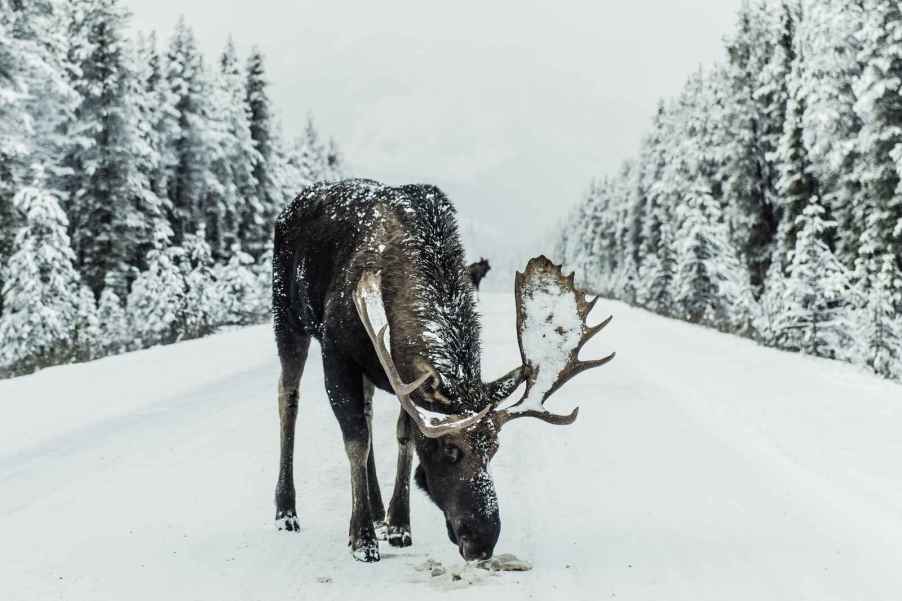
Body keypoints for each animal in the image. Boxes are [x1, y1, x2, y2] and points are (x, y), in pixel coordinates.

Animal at [271, 179, 614, 562]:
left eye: (494, 448)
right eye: (450, 450)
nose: (482, 541)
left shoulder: (401, 375)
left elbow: (404, 437)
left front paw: (399, 524)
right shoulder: (337, 350)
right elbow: (356, 440)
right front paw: (362, 539)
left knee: (368, 410)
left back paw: (377, 509)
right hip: (287, 316)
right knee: (289, 399)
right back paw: (286, 511)